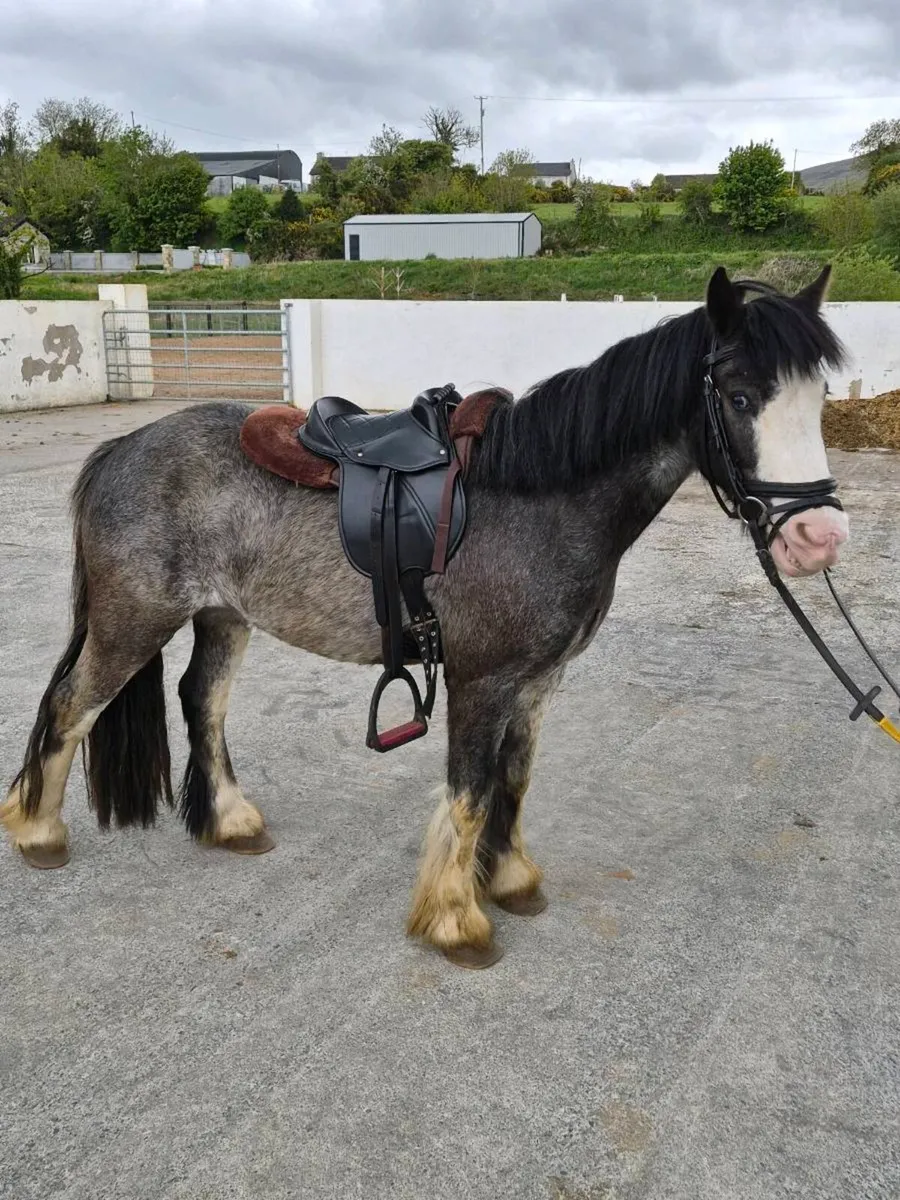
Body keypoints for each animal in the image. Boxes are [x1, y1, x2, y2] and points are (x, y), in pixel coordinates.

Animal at [2, 264, 849, 969]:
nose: (818, 537)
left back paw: (228, 820)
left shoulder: (537, 681)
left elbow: (514, 779)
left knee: (200, 703)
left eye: (819, 401)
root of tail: (124, 445)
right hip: (132, 620)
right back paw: (38, 830)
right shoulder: (483, 680)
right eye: (739, 398)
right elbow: (469, 793)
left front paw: (510, 879)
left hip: (221, 616)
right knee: (72, 705)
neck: (543, 496)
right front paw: (455, 919)